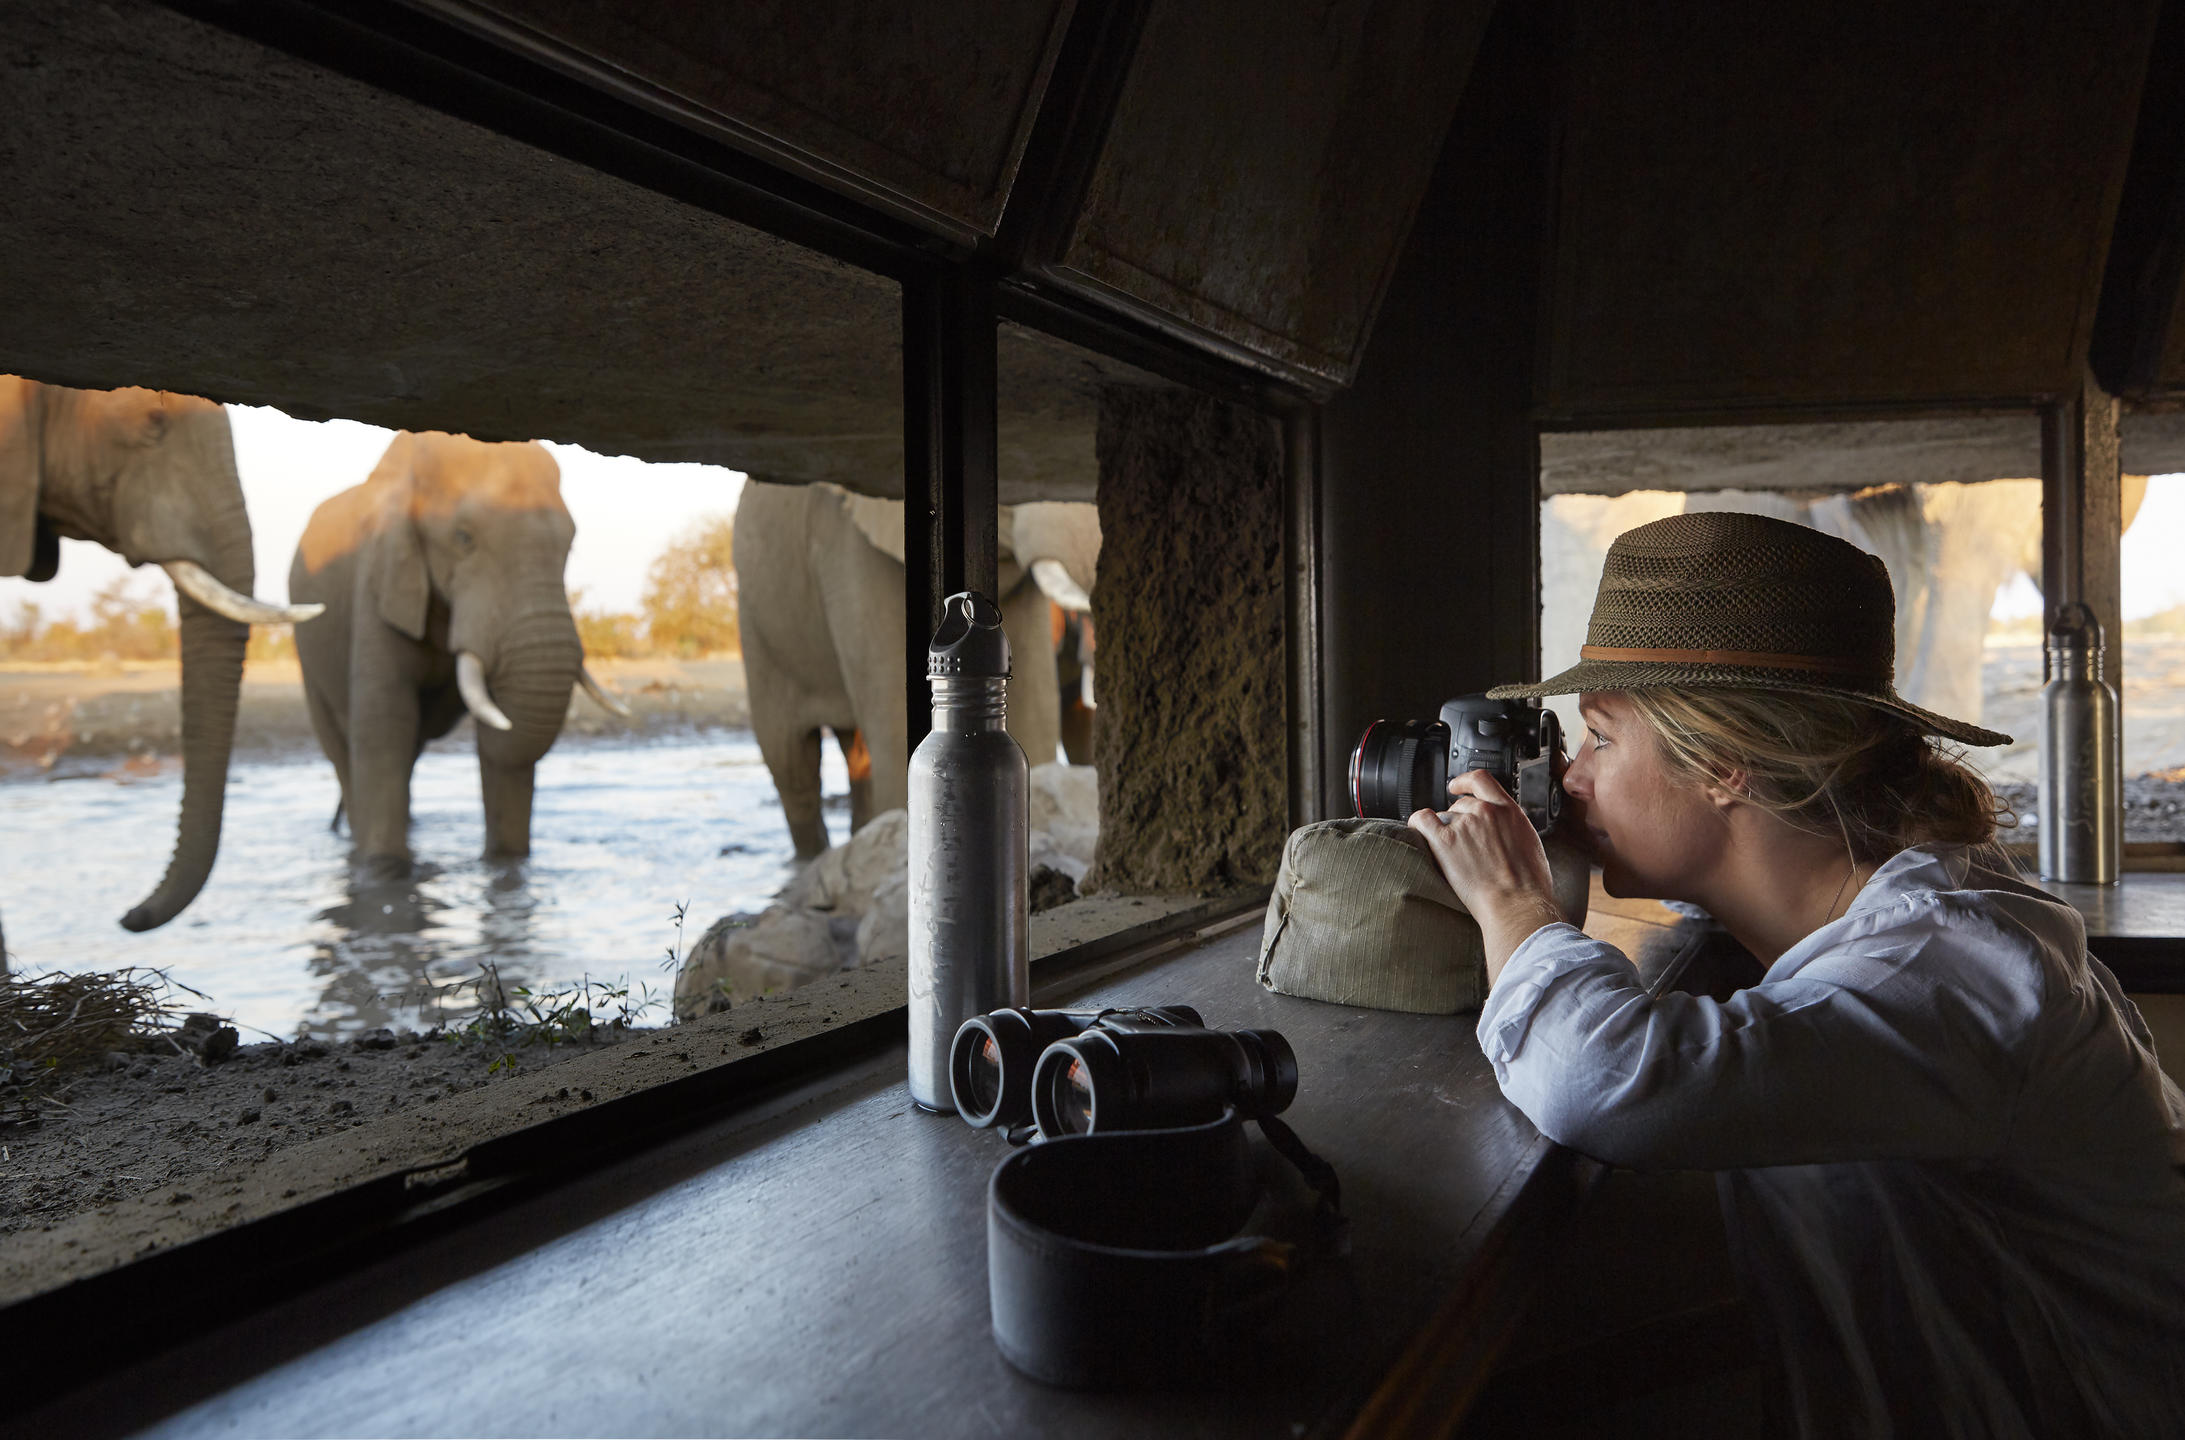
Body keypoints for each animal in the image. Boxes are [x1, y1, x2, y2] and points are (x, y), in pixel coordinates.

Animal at [290, 430, 633, 869]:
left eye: (570, 546)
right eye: (463, 539)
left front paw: (507, 865)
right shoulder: (381, 580)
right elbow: (385, 725)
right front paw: (383, 869)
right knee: (341, 748)